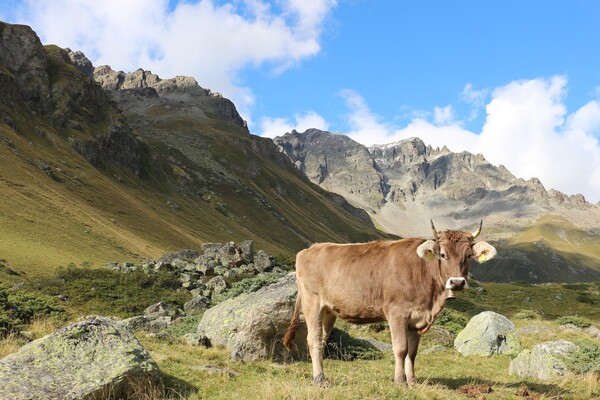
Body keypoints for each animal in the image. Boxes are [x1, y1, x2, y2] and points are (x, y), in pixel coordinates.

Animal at [284, 220, 496, 386]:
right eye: (442, 255)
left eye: (468, 256)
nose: (457, 282)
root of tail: (311, 248)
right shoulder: (396, 313)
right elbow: (401, 349)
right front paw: (400, 381)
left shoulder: (416, 319)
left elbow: (412, 352)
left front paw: (412, 381)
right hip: (312, 303)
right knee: (313, 340)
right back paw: (319, 379)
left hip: (329, 311)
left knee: (321, 339)